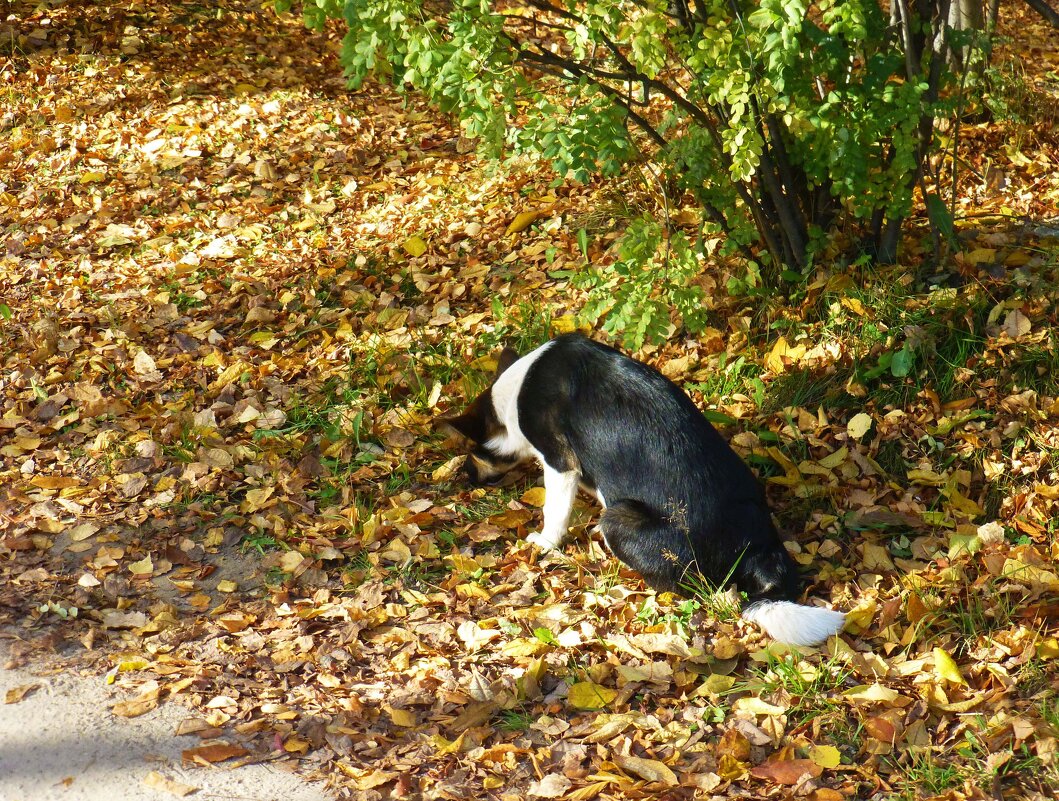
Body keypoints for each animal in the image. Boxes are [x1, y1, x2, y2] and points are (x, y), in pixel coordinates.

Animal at [442, 334, 847, 648]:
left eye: (473, 449)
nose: (464, 477)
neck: (515, 392)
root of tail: (757, 548)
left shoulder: (559, 463)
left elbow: (554, 512)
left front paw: (543, 543)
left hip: (618, 518)